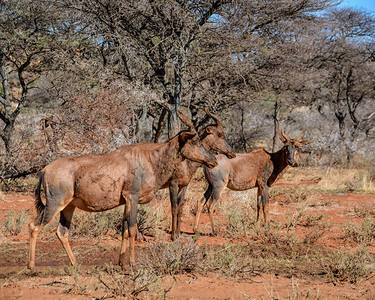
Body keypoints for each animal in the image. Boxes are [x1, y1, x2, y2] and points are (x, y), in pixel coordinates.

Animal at [28, 110, 217, 270]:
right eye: (195, 141)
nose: (213, 161)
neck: (148, 158)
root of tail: (45, 170)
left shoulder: (126, 202)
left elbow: (125, 230)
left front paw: (121, 262)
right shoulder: (132, 198)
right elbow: (132, 229)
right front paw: (132, 263)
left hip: (68, 207)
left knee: (62, 232)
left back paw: (76, 264)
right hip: (54, 204)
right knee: (34, 226)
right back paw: (32, 266)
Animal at [161, 109, 235, 240]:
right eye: (220, 134)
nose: (232, 153)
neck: (185, 161)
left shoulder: (184, 185)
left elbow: (180, 206)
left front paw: (178, 234)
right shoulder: (173, 183)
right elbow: (174, 206)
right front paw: (173, 236)